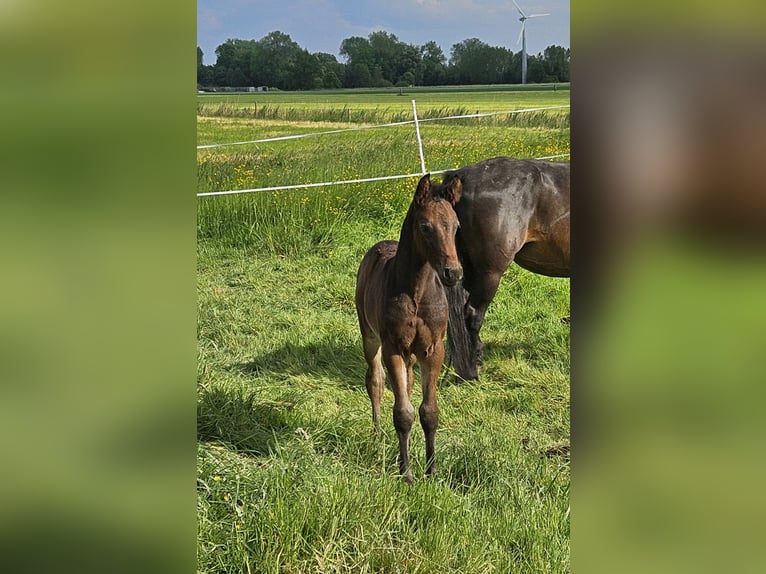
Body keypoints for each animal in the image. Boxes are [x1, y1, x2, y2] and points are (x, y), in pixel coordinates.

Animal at [358, 173, 462, 484]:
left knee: (407, 381)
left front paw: (432, 469)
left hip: (412, 354)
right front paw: (406, 472)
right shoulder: (392, 347)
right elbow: (403, 412)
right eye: (425, 227)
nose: (454, 273)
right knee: (376, 380)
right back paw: (377, 434)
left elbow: (429, 411)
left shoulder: (433, 349)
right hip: (370, 337)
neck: (416, 292)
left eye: (456, 226)